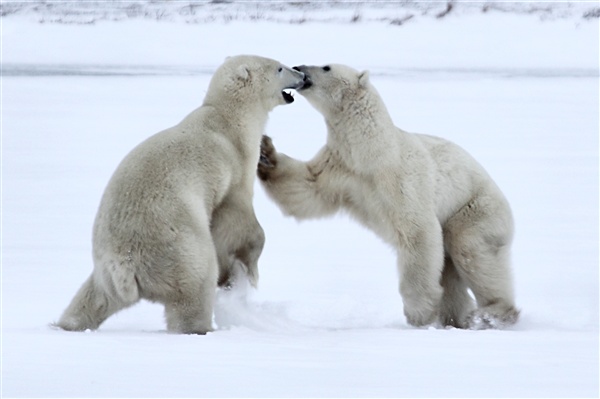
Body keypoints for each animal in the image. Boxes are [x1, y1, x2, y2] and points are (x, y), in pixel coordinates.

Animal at [55, 53, 304, 334]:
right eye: (279, 67)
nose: (302, 74)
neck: (228, 118)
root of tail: (126, 265)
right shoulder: (234, 166)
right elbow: (236, 219)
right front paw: (244, 274)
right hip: (179, 249)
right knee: (196, 285)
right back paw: (203, 326)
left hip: (106, 270)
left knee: (95, 297)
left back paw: (67, 324)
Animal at [260, 63, 516, 332]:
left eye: (326, 67)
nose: (299, 67)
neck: (371, 151)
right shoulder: (340, 168)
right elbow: (307, 189)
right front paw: (265, 153)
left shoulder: (401, 177)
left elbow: (417, 232)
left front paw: (418, 313)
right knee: (450, 270)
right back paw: (455, 319)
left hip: (474, 208)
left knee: (471, 249)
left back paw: (492, 314)